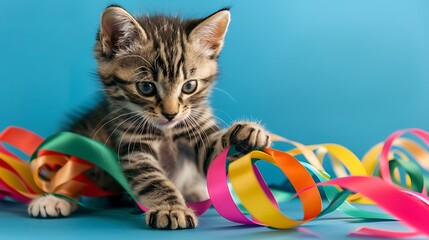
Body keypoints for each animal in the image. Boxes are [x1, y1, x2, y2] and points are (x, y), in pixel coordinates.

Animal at [27, 5, 270, 229]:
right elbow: (153, 180)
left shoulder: (197, 130)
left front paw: (246, 133)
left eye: (189, 86)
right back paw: (54, 198)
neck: (167, 132)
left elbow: (216, 154)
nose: (171, 114)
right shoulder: (133, 146)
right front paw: (171, 209)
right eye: (146, 88)